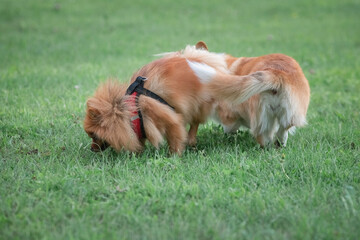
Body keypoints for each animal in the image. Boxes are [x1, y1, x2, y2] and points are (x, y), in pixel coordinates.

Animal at [83, 45, 231, 154]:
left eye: (94, 136)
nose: (92, 149)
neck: (132, 110)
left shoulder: (170, 120)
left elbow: (175, 138)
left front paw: (174, 155)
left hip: (197, 104)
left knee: (195, 122)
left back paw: (191, 139)